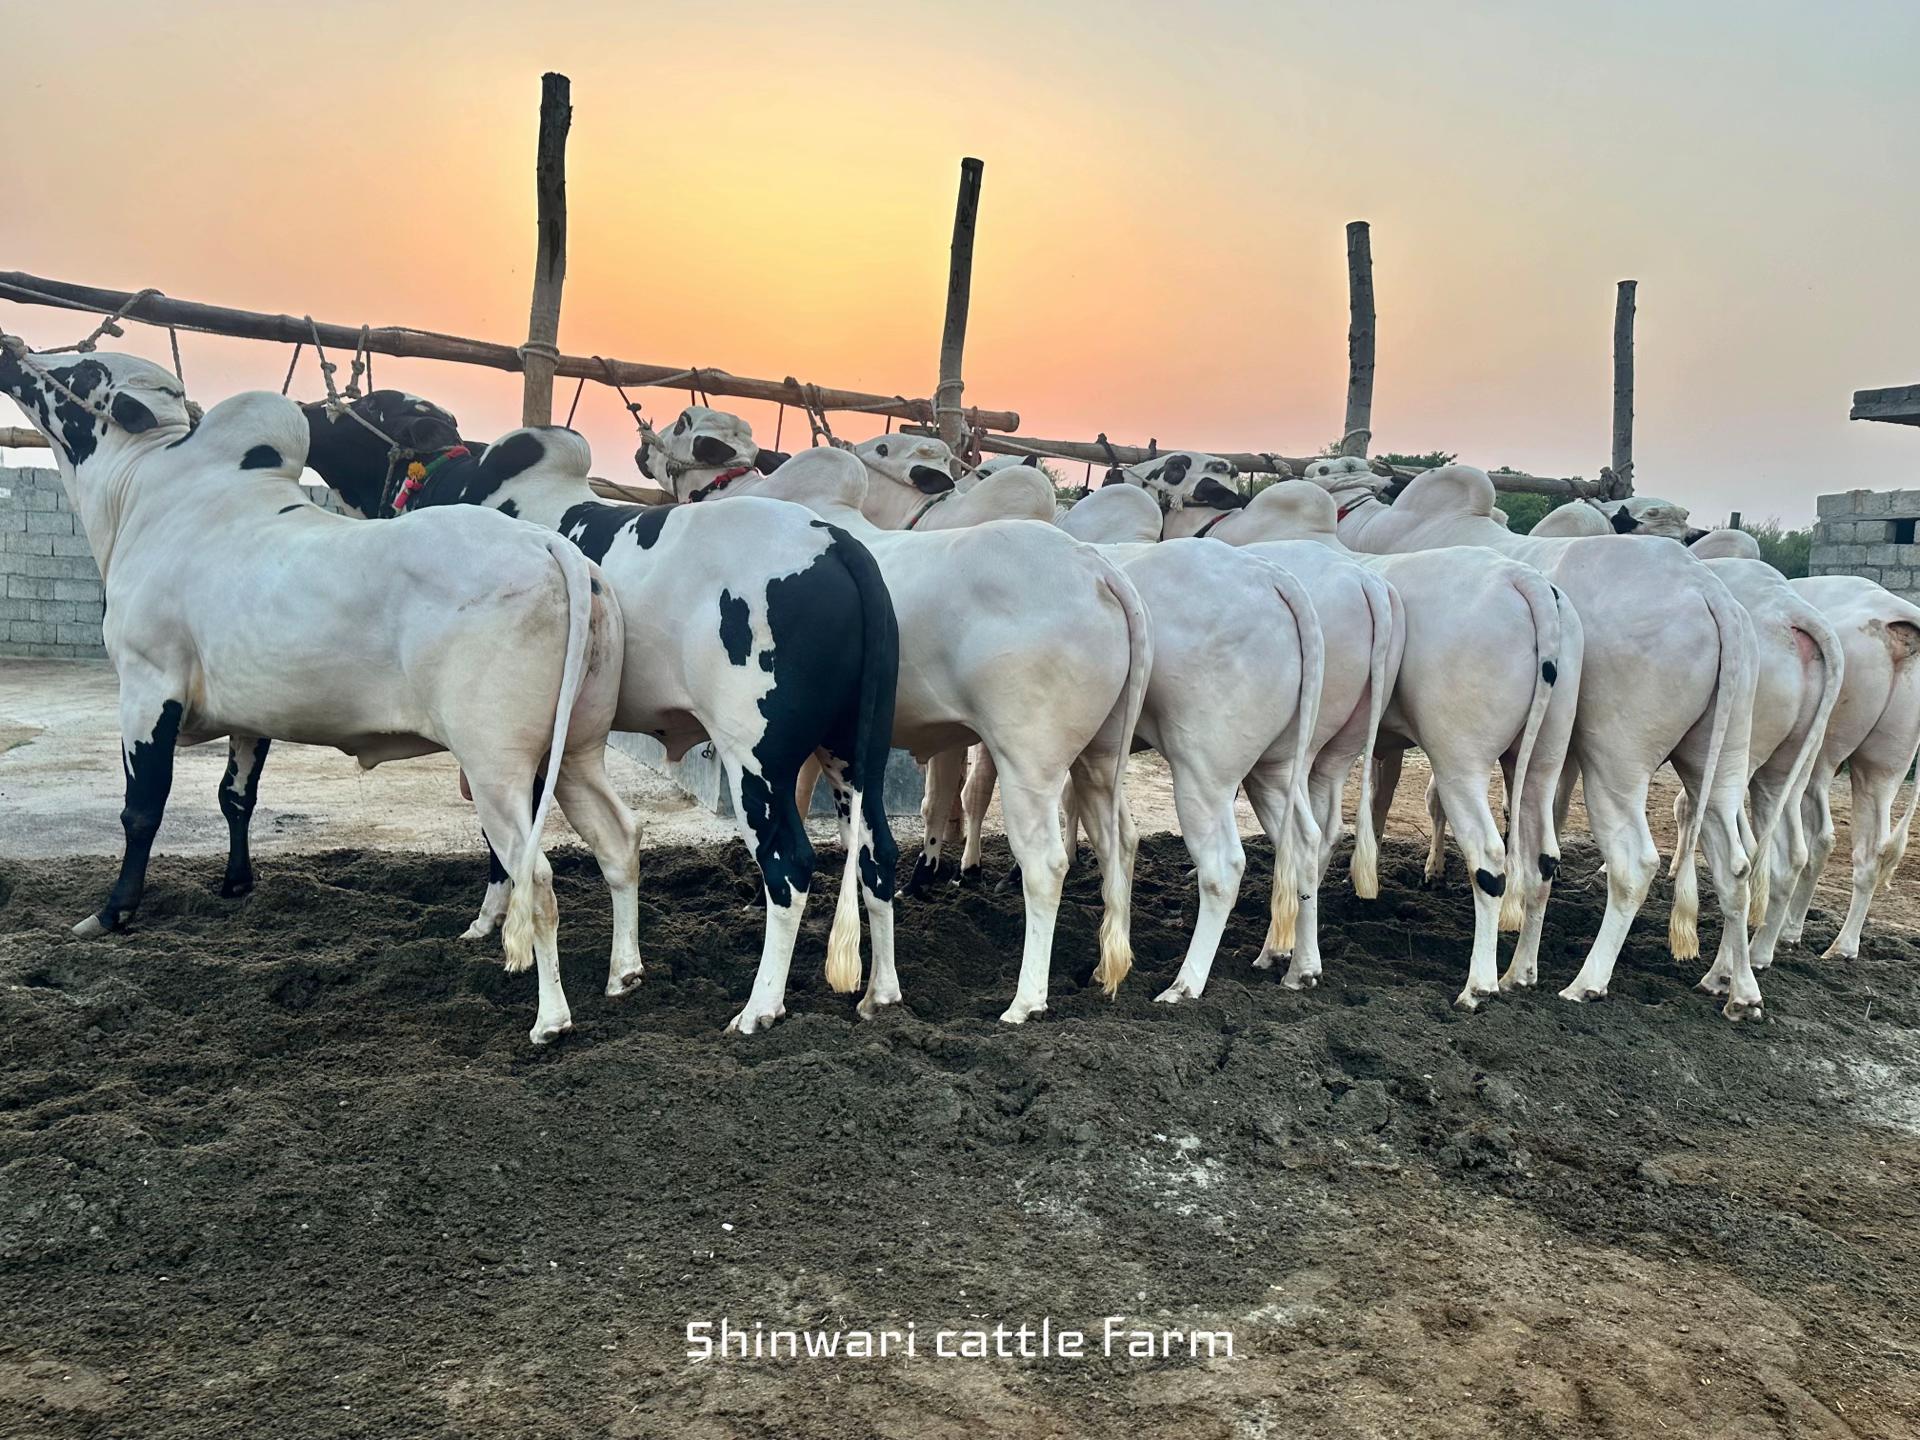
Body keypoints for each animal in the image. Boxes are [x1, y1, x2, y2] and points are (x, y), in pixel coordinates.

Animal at [0, 339, 629, 1045]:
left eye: (85, 371)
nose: (15, 351)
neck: (145, 495)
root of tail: (550, 546)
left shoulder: (146, 688)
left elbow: (142, 809)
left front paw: (113, 914)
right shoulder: (251, 715)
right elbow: (235, 798)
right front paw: (235, 885)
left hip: (498, 765)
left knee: (536, 875)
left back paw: (551, 1018)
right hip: (576, 752)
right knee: (619, 842)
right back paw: (623, 974)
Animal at [300, 392, 900, 1037]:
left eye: (372, 407)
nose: (308, 411)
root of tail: (836, 543)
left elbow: (502, 845)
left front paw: (488, 924)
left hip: (755, 759)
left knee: (788, 866)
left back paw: (759, 1007)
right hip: (853, 751)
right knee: (878, 853)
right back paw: (880, 994)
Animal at [643, 436, 1153, 1026]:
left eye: (686, 433)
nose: (645, 451)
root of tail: (1097, 569)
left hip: (1030, 761)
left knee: (1046, 864)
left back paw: (1025, 1002)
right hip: (1099, 757)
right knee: (1121, 838)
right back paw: (1105, 967)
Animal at [1134, 466, 1579, 1006]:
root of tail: (1525, 580)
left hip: (1456, 759)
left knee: (1493, 859)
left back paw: (1482, 985)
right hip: (1539, 758)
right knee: (1541, 860)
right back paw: (1520, 973)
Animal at [1303, 456, 1763, 1019]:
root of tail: (1708, 592)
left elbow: (1390, 803)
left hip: (1612, 761)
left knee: (1630, 862)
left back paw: (1580, 981)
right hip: (1716, 761)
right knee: (1734, 863)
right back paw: (1731, 985)